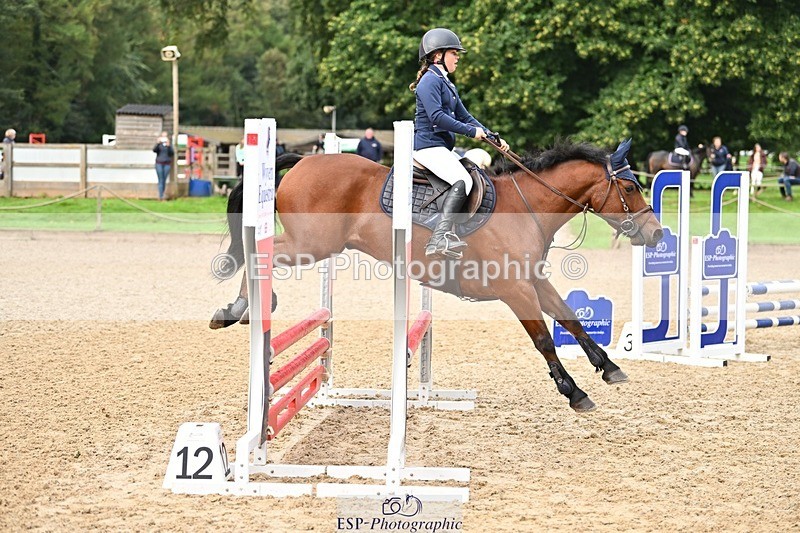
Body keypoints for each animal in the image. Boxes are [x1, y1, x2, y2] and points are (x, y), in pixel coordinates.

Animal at [211, 139, 663, 412]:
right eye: (631, 187)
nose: (657, 234)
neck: (526, 208)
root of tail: (304, 159)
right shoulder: (516, 290)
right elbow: (544, 340)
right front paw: (573, 391)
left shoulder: (534, 281)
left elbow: (570, 319)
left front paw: (609, 366)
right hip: (312, 245)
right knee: (261, 254)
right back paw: (240, 307)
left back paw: (241, 307)